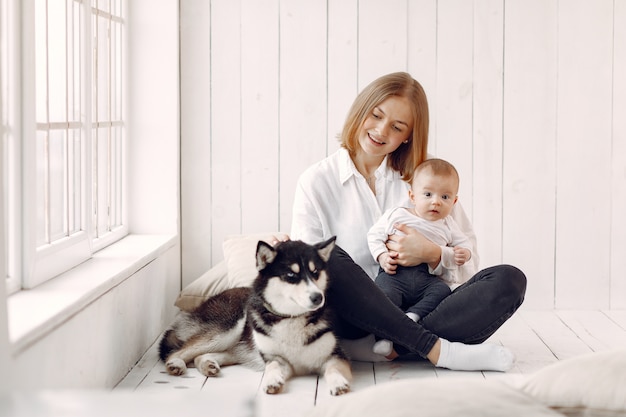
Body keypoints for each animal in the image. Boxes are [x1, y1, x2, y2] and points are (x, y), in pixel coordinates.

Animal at [156, 236, 352, 394]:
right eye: (291, 275)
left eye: (315, 272)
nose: (318, 297)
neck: (292, 318)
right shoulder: (274, 358)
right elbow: (273, 367)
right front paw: (272, 380)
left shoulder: (335, 355)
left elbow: (333, 369)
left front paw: (338, 383)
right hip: (227, 329)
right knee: (180, 351)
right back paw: (176, 363)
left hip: (238, 346)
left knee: (202, 355)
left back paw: (207, 364)